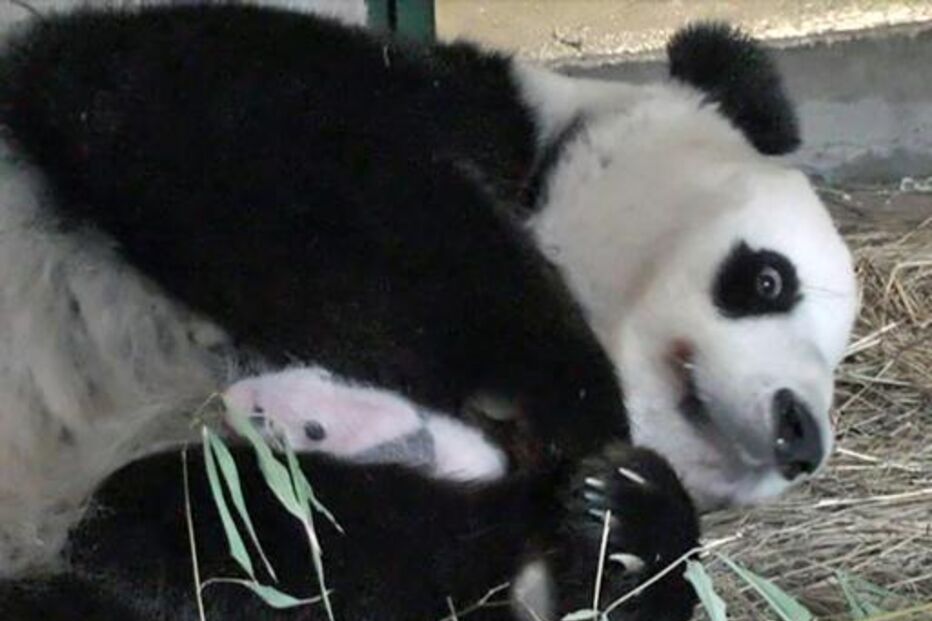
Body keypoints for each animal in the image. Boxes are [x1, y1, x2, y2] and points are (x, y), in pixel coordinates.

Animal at [0, 4, 857, 620]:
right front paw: (565, 391)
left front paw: (630, 521)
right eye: (768, 280)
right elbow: (244, 134)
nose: (801, 436)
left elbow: (284, 549)